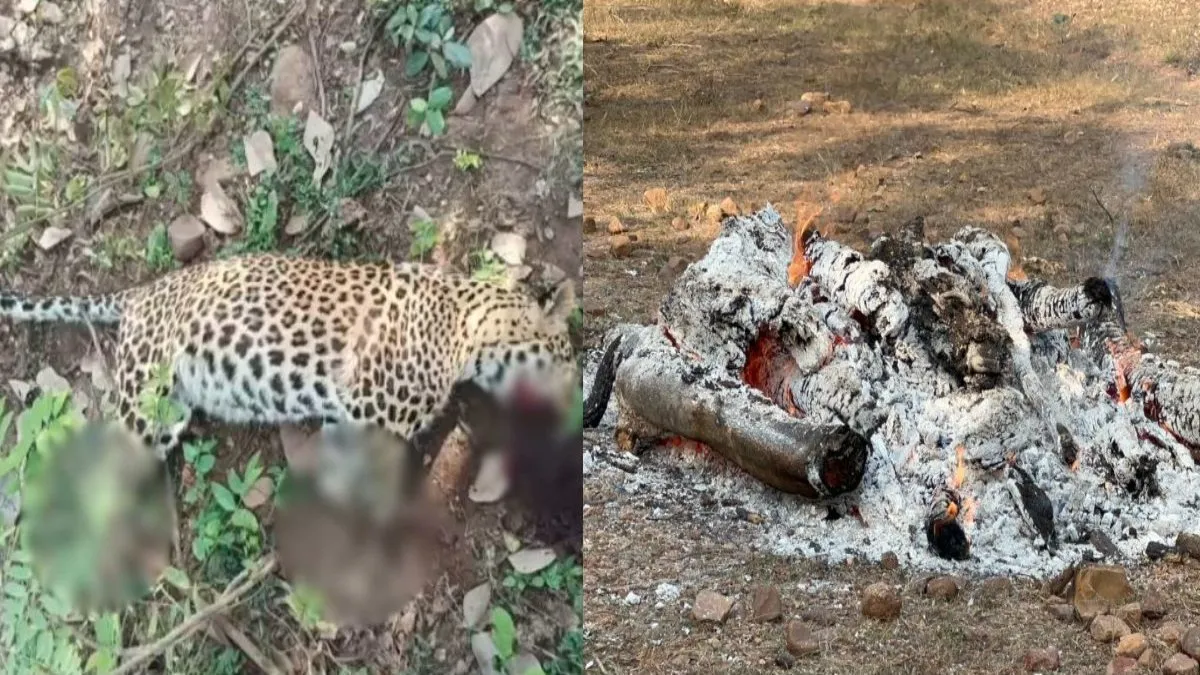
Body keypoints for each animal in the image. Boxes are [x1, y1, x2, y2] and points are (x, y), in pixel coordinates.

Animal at [0, 253, 578, 470]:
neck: (465, 328)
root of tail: (142, 291)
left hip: (170, 409)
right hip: (144, 396)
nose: (573, 413)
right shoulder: (371, 418)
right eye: (567, 360)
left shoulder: (347, 421)